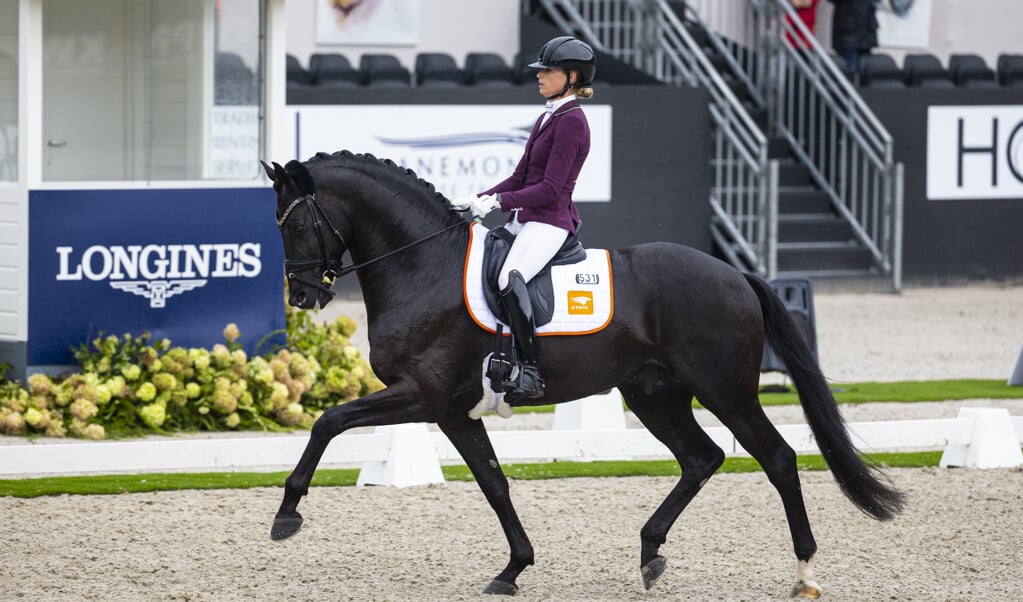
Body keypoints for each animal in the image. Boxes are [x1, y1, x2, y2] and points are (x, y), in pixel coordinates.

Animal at [257, 151, 904, 597]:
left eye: (295, 226)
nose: (303, 296)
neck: (422, 264)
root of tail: (736, 274)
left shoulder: (422, 395)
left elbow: (329, 420)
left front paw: (287, 515)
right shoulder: (453, 409)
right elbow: (494, 484)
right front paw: (513, 569)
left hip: (725, 390)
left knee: (778, 458)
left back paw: (805, 573)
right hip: (654, 394)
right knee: (702, 458)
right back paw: (650, 552)